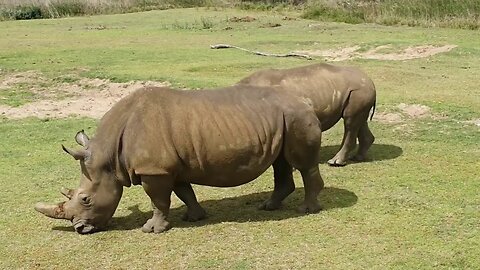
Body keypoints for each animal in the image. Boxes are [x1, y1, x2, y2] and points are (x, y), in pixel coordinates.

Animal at [35, 85, 324, 233]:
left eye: (86, 199)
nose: (79, 229)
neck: (108, 155)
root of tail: (305, 99)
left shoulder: (154, 169)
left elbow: (159, 200)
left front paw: (152, 229)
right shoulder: (168, 167)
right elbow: (184, 192)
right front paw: (194, 217)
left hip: (296, 115)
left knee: (302, 163)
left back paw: (307, 210)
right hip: (284, 119)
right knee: (281, 162)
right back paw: (269, 207)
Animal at [238, 62, 376, 167]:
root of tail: (370, 80)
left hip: (359, 90)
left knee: (350, 122)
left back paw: (335, 162)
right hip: (358, 91)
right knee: (359, 121)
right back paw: (358, 157)